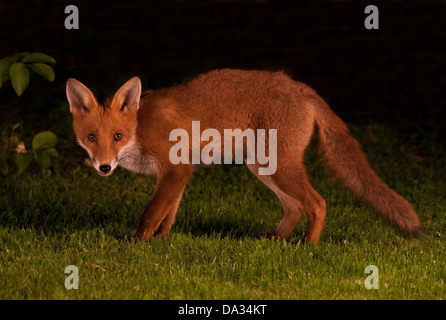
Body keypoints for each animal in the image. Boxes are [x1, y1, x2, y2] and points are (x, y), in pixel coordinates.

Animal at [66, 68, 422, 242]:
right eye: (92, 138)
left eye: (117, 136)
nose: (104, 167)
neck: (139, 129)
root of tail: (302, 87)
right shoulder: (180, 173)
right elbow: (169, 213)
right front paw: (161, 241)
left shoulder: (175, 169)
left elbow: (151, 213)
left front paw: (136, 245)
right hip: (262, 165)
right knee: (295, 207)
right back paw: (274, 241)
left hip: (277, 166)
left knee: (317, 203)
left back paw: (308, 247)